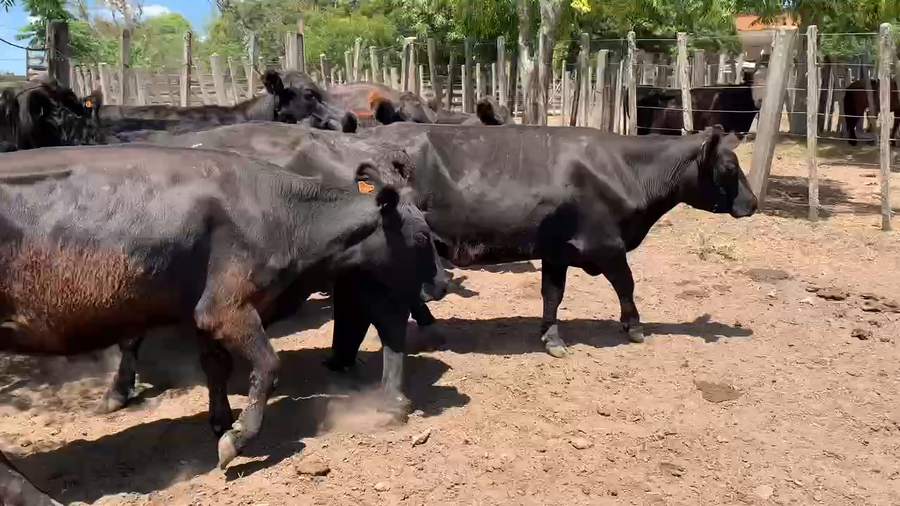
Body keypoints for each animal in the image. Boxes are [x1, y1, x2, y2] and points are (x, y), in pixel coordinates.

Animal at [0, 144, 447, 504]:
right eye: (421, 237)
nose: (442, 283)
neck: (285, 214)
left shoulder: (203, 313)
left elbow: (217, 366)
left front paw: (220, 420)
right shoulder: (227, 307)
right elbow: (267, 366)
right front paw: (237, 437)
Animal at [326, 123, 758, 359]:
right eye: (729, 166)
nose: (753, 203)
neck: (626, 169)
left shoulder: (556, 250)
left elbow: (553, 293)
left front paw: (550, 337)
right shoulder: (606, 244)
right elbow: (626, 283)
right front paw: (634, 327)